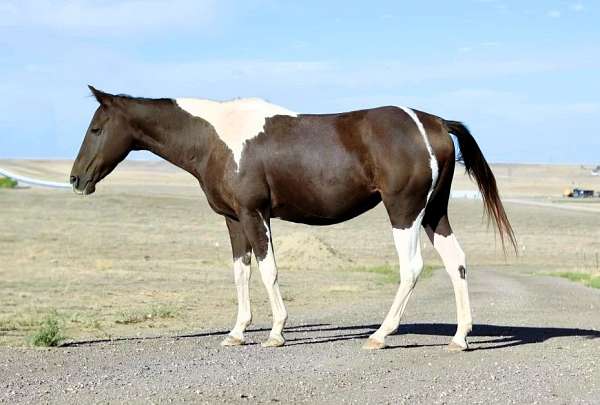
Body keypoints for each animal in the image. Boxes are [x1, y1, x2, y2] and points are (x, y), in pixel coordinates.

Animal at [69, 86, 516, 350]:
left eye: (95, 129)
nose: (75, 179)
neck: (218, 137)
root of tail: (434, 123)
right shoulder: (233, 219)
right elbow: (241, 272)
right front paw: (236, 332)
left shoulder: (254, 214)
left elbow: (268, 271)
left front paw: (276, 332)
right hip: (433, 213)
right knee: (456, 262)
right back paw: (459, 337)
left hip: (404, 212)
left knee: (412, 268)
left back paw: (380, 335)